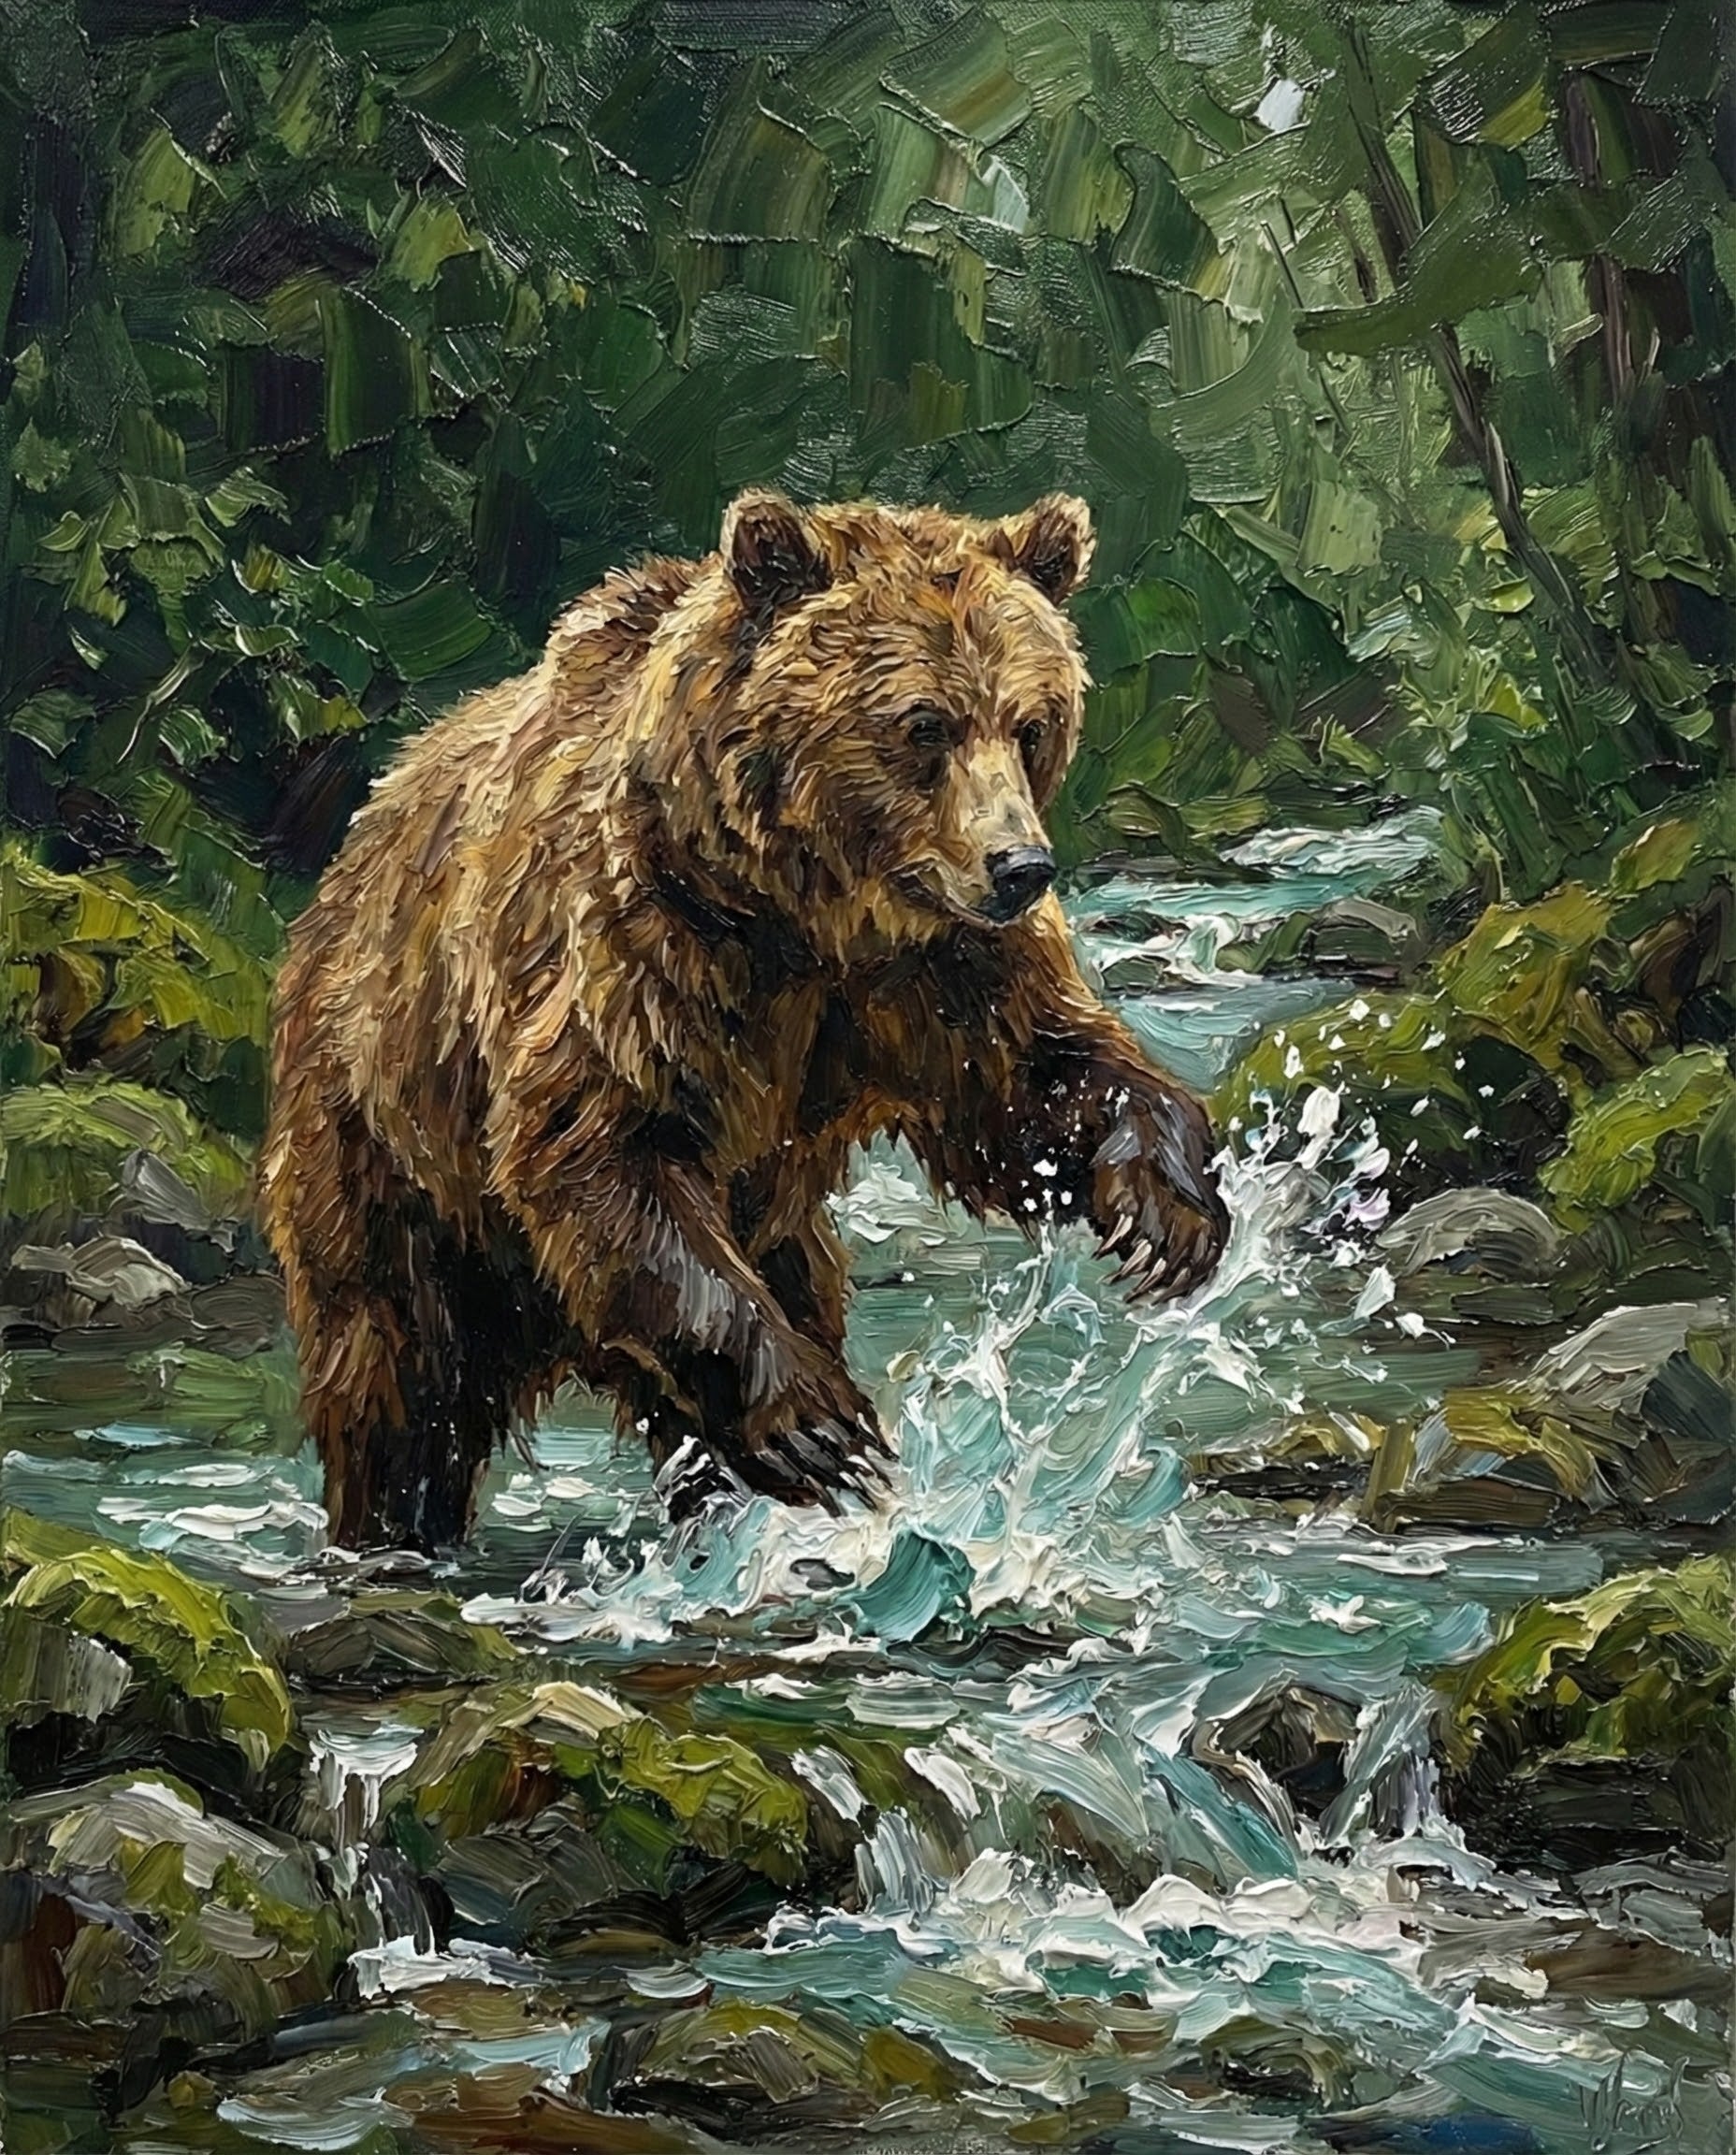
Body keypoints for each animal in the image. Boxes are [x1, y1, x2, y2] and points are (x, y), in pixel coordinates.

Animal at [260, 490, 1229, 1553]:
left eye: (1029, 724)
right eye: (923, 725)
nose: (1020, 868)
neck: (811, 913)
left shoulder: (930, 974)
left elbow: (1026, 1085)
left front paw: (1167, 1209)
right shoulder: (648, 945)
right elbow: (603, 1147)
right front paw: (818, 1425)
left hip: (769, 1237)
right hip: (390, 1153)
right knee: (401, 1387)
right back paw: (396, 1528)